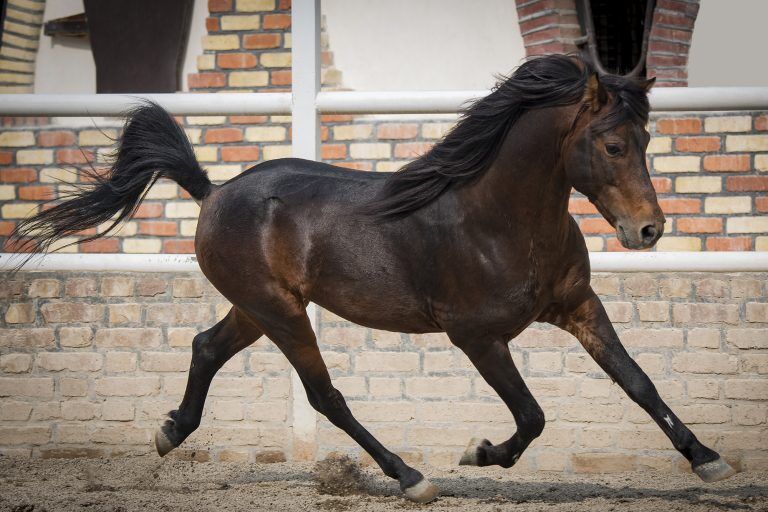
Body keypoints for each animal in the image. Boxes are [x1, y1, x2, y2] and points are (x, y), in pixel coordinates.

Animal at [9, 54, 736, 502]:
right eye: (612, 145)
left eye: (647, 141)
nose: (649, 231)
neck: (499, 218)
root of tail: (212, 192)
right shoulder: (477, 337)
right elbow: (531, 415)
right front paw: (479, 454)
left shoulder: (579, 306)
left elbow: (639, 382)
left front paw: (709, 460)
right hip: (280, 313)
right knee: (324, 395)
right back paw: (410, 477)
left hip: (258, 308)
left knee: (207, 348)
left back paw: (169, 433)